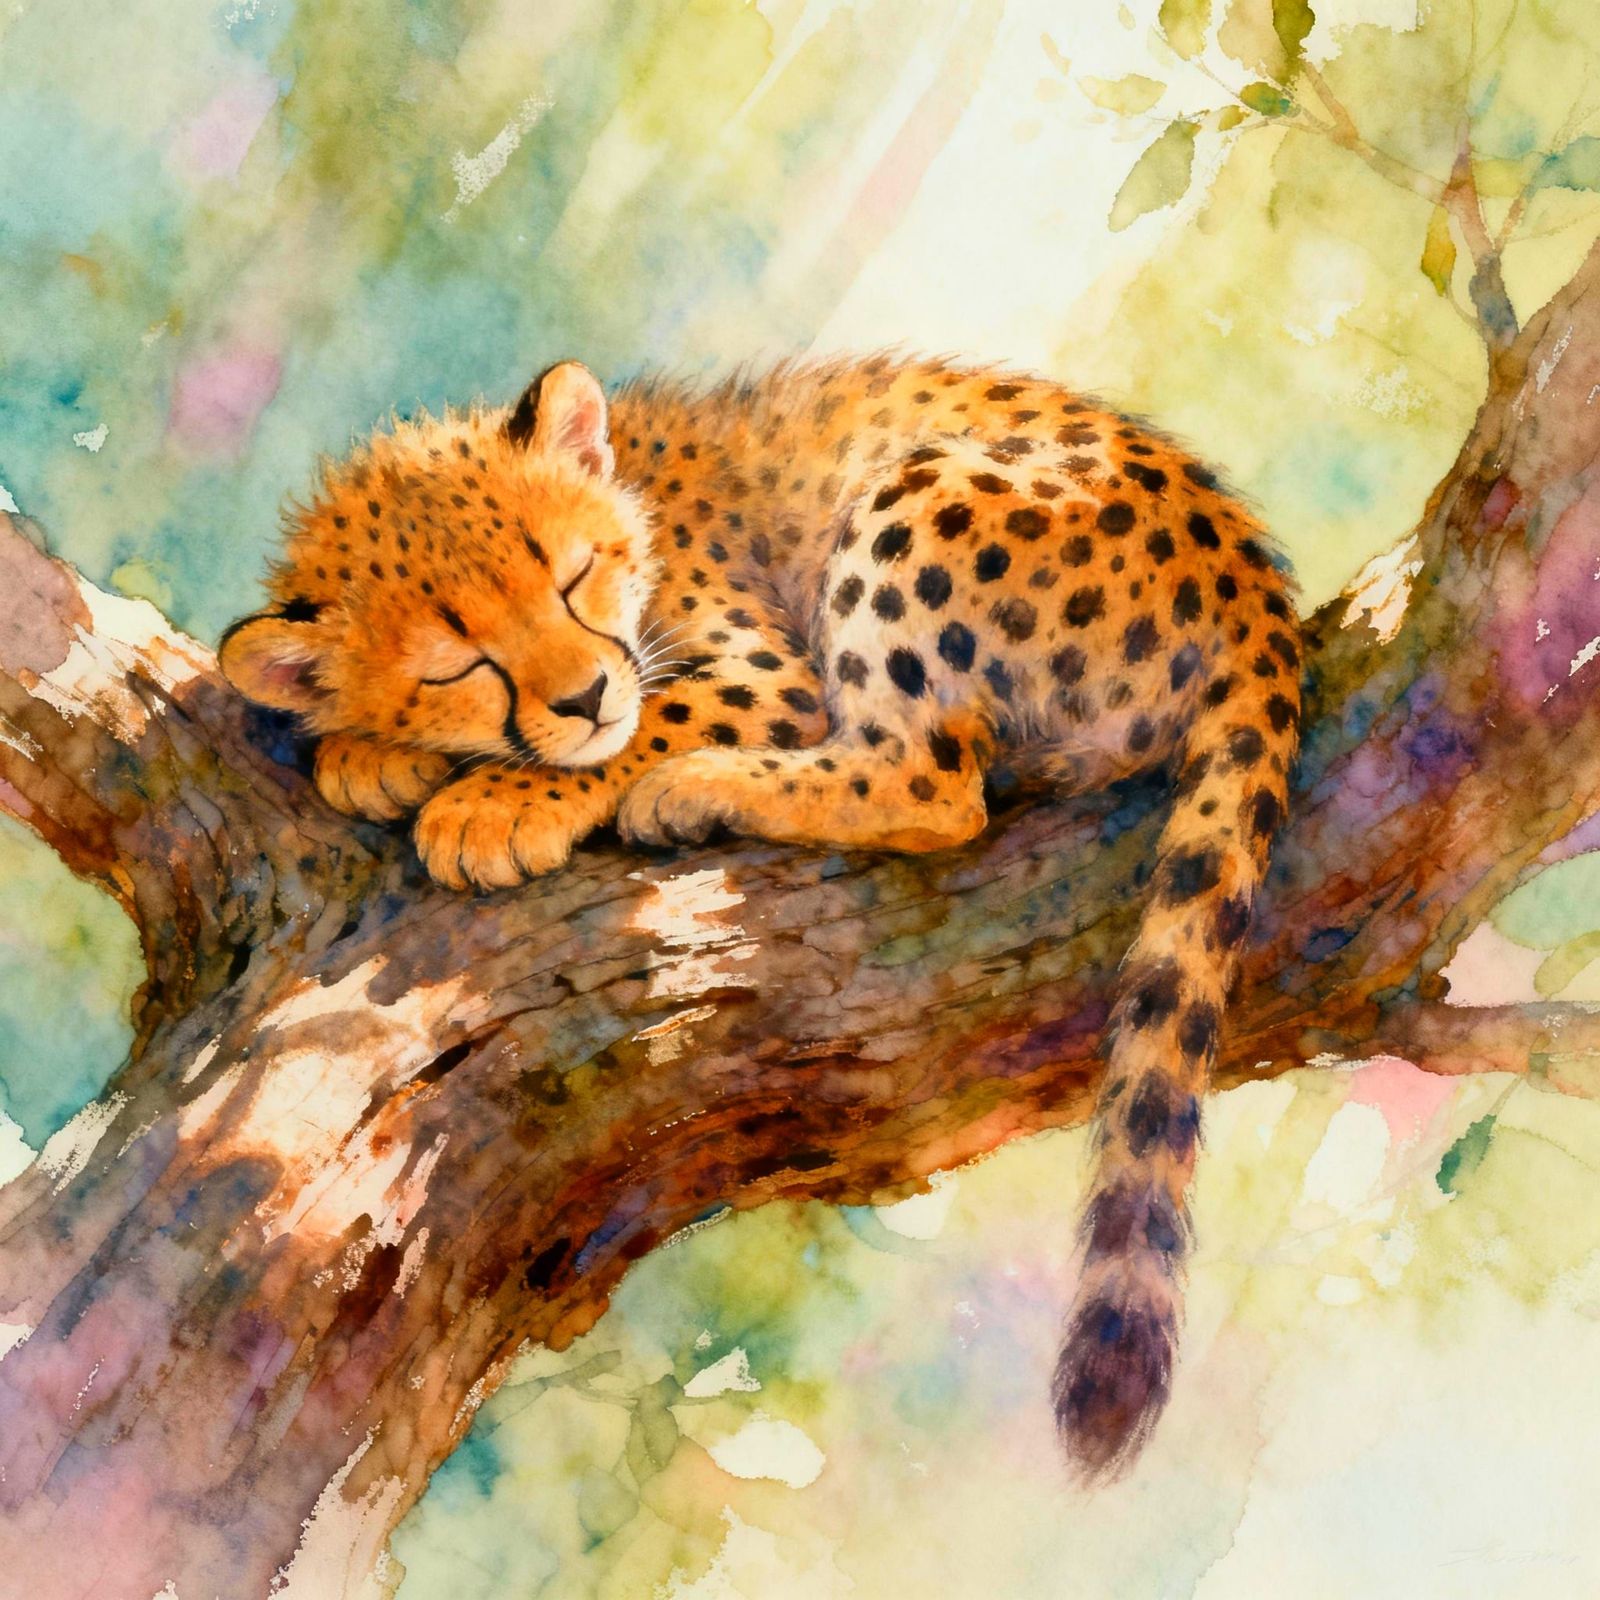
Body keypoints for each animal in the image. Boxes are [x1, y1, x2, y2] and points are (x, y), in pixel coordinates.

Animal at [221, 352, 1301, 1476]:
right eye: (457, 663)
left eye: (571, 576)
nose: (583, 695)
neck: (640, 504)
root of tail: (1256, 592)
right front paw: (366, 750)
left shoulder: (761, 677)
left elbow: (648, 722)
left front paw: (494, 804)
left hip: (917, 496)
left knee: (934, 781)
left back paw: (696, 789)